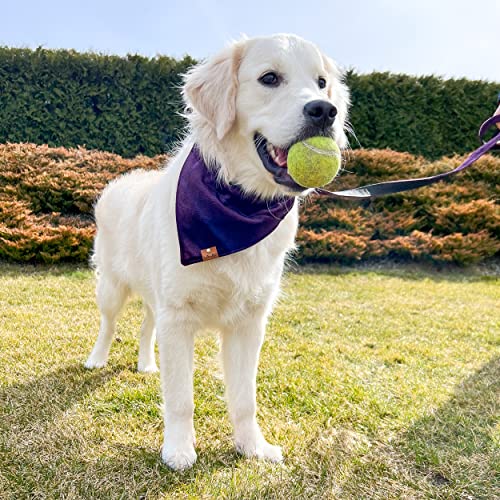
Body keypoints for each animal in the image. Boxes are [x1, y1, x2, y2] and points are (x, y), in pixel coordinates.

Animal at [85, 33, 348, 470]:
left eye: (322, 82)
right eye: (270, 78)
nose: (325, 111)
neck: (238, 205)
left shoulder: (248, 323)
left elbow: (245, 399)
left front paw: (252, 447)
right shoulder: (178, 316)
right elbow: (180, 398)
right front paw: (178, 450)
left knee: (146, 326)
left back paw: (146, 364)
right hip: (112, 287)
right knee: (108, 324)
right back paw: (97, 358)